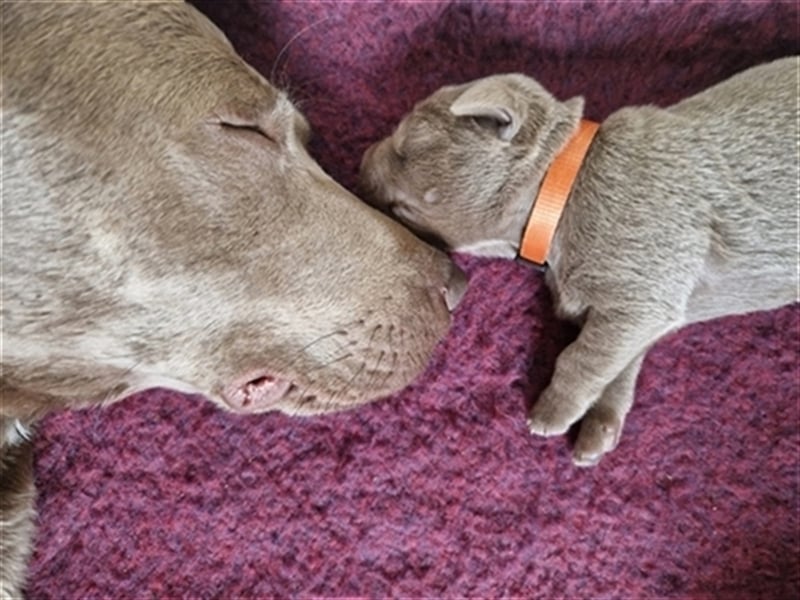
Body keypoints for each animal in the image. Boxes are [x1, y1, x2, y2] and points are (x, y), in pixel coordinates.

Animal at [362, 56, 800, 466]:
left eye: (404, 146)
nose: (361, 158)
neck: (562, 193)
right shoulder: (650, 309)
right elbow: (619, 361)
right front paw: (600, 426)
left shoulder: (645, 293)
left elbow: (584, 357)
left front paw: (551, 414)